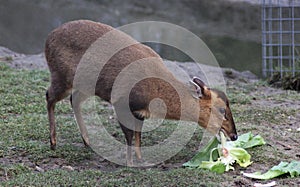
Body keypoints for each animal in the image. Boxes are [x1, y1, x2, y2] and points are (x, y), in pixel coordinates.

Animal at [44, 19, 238, 166]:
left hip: (85, 85)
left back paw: (87, 141)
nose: (234, 135)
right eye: (222, 110)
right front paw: (130, 163)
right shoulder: (121, 102)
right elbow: (129, 135)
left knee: (74, 99)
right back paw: (53, 142)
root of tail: (49, 38)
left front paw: (140, 158)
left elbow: (138, 134)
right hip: (61, 75)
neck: (155, 91)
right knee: (49, 96)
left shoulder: (140, 112)